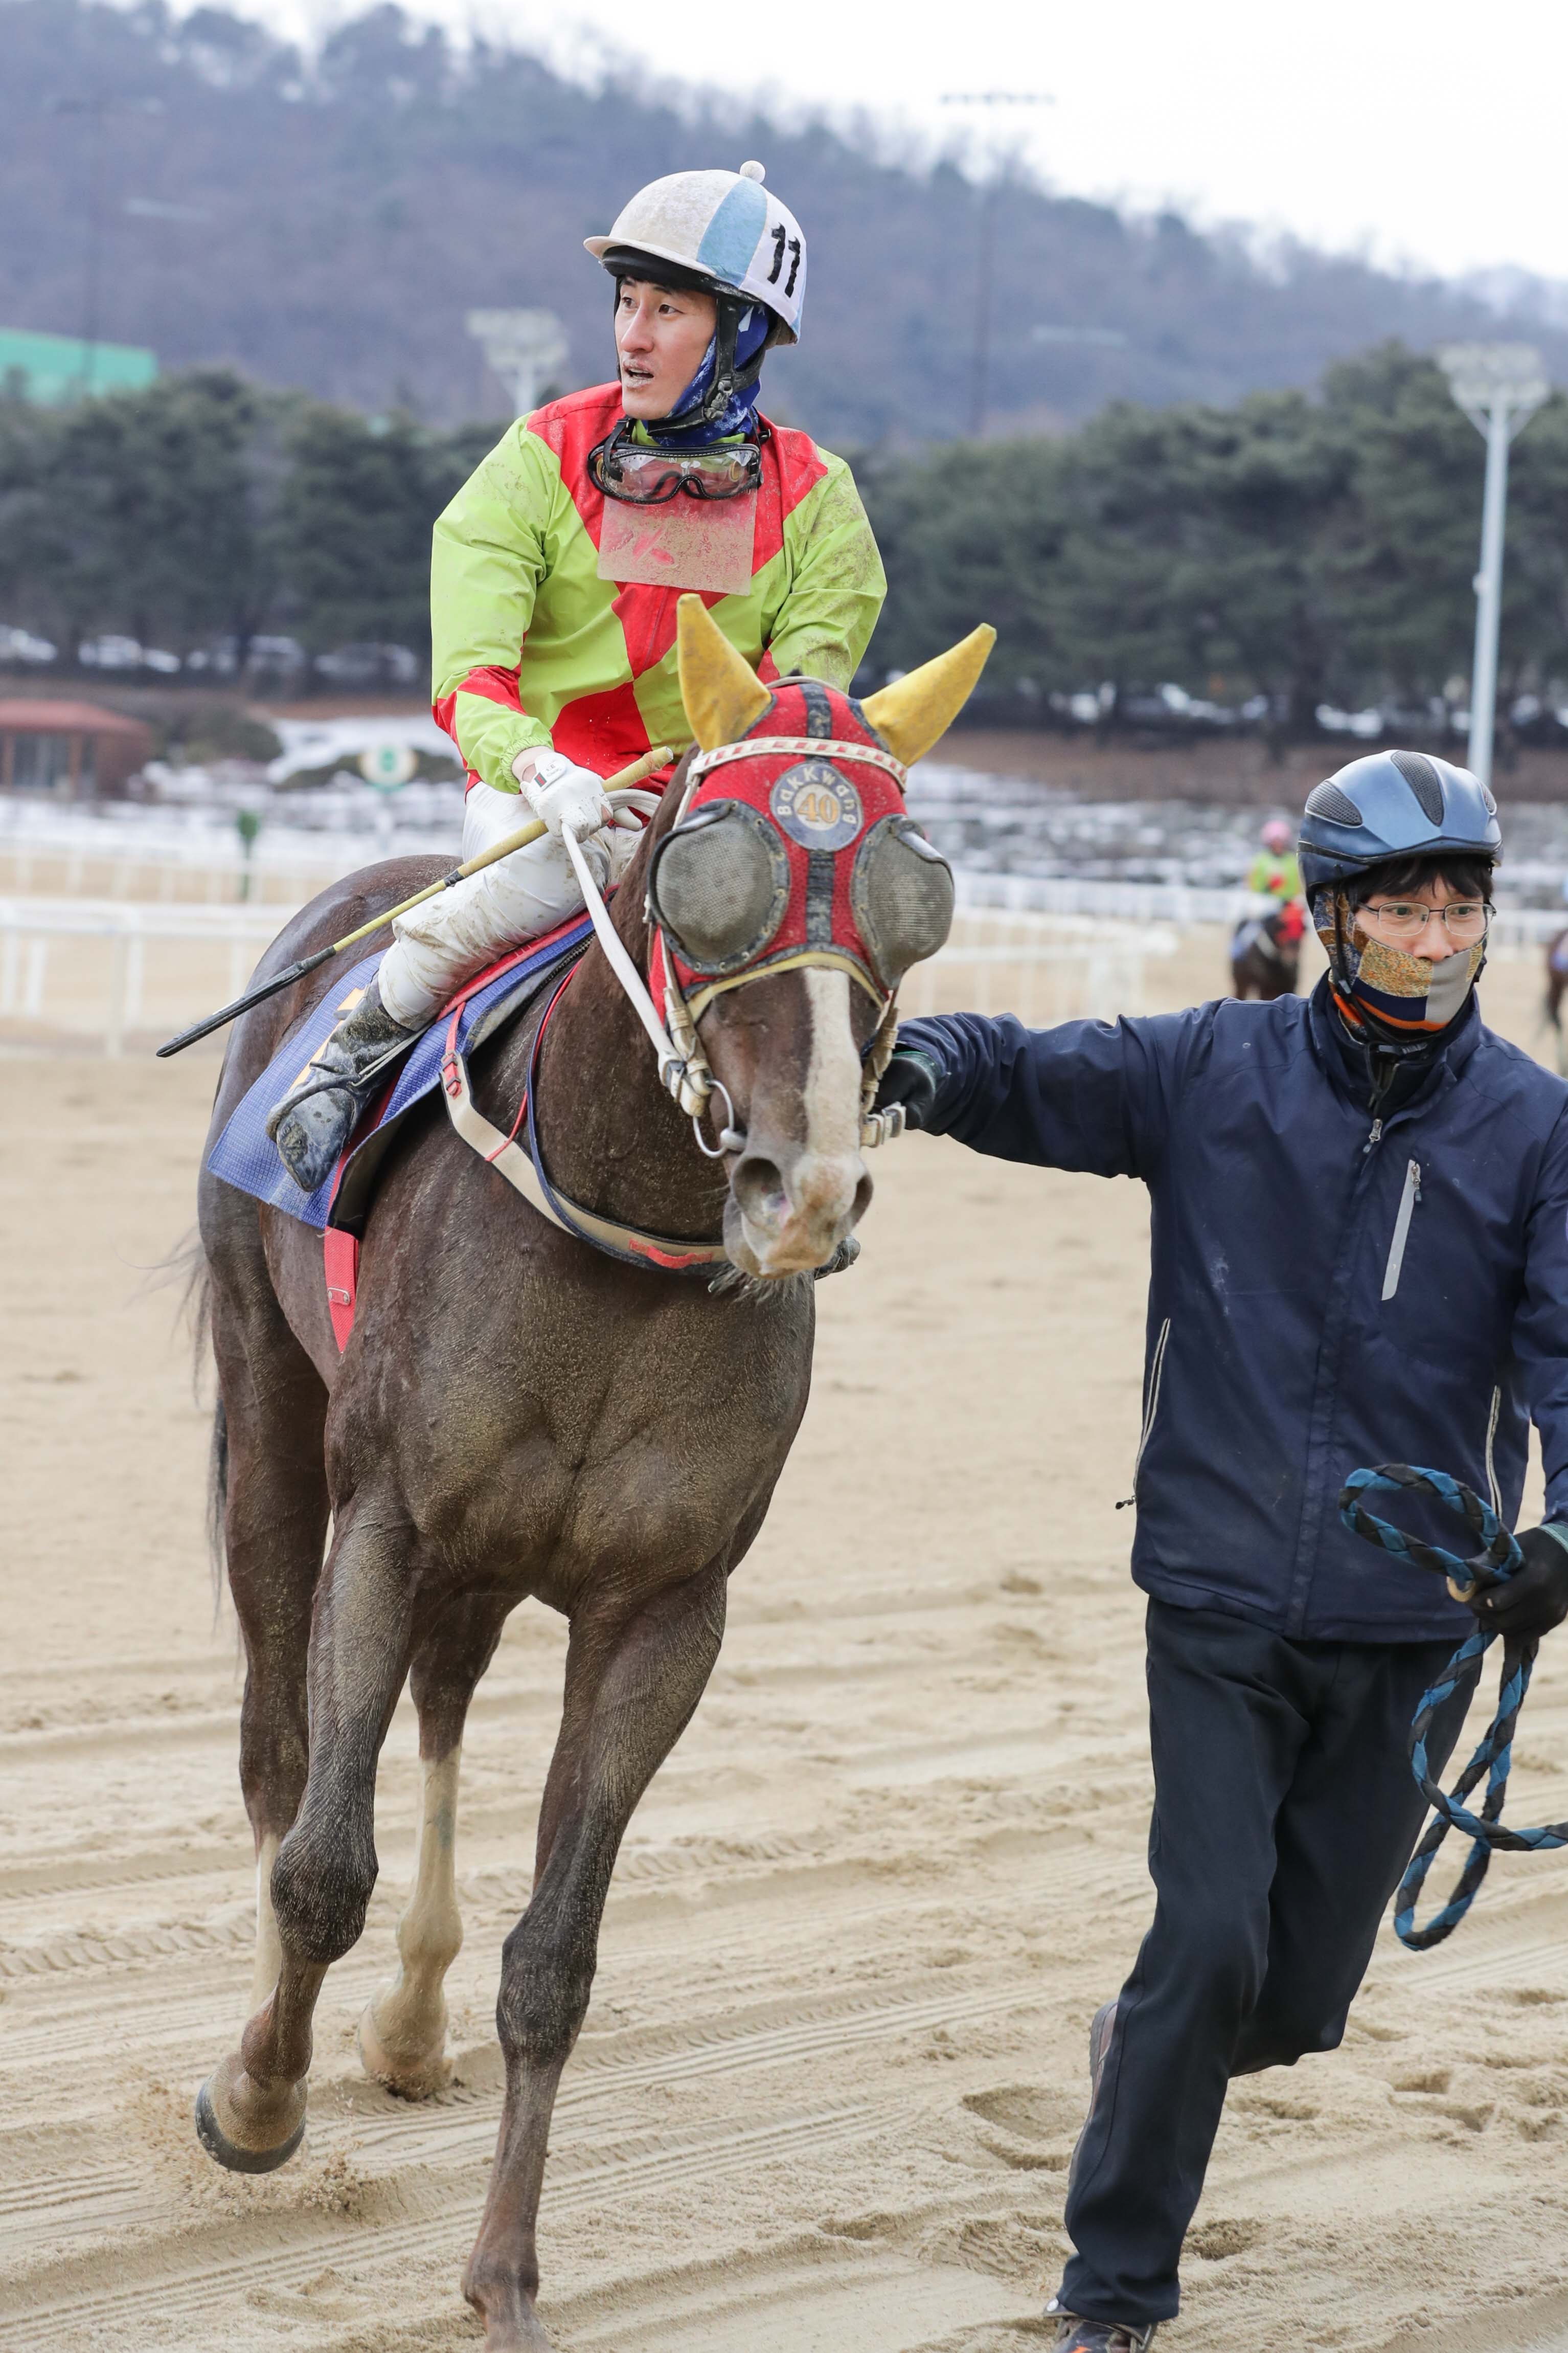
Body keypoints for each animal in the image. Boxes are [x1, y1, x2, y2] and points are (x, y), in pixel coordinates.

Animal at [187, 597, 992, 2343]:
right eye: (705, 866)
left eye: (917, 892)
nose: (802, 1184)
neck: (617, 1236)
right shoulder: (385, 1513)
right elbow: (321, 1864)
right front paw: (258, 2097)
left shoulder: (661, 1605)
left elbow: (556, 1954)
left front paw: (503, 2270)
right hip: (274, 1412)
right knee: (284, 1747)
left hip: (491, 1555)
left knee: (439, 1698)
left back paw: (408, 2024)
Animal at [1232, 899, 1307, 1002]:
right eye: (1284, 925)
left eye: (1303, 928)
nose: (1292, 954)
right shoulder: (1265, 988)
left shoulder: (1290, 986)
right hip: (1241, 981)